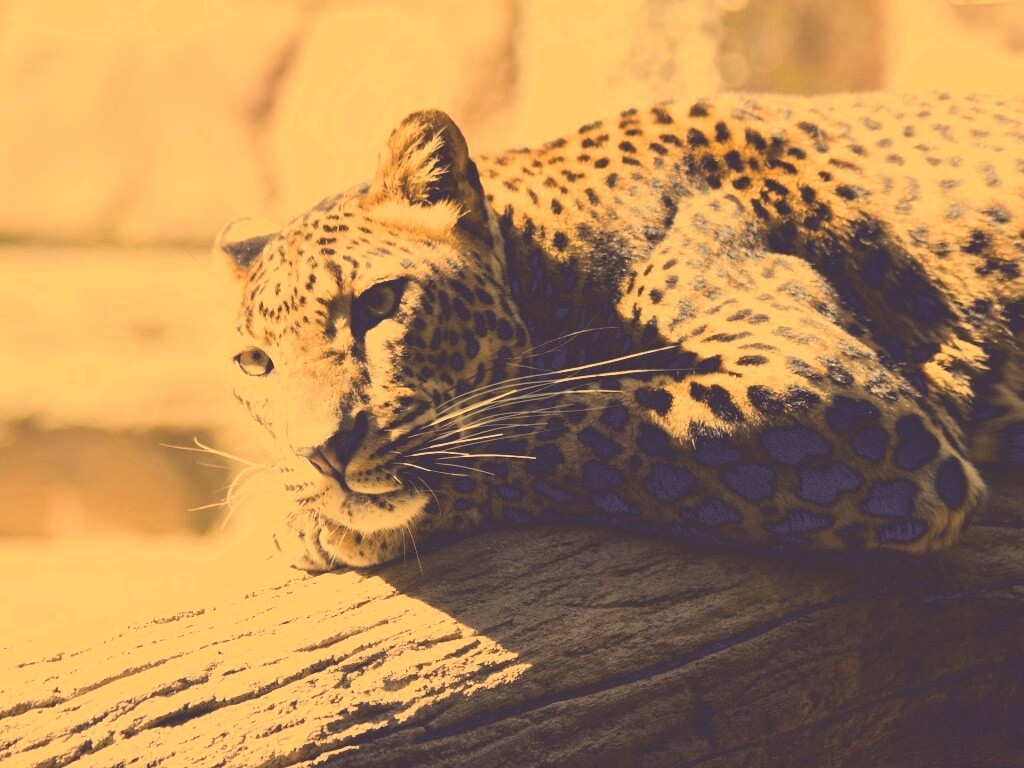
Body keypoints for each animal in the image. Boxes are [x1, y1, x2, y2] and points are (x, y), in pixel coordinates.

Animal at [214, 92, 1024, 571]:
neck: (553, 252)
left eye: (379, 303)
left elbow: (581, 421)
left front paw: (316, 523)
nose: (323, 452)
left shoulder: (829, 387)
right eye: (254, 364)